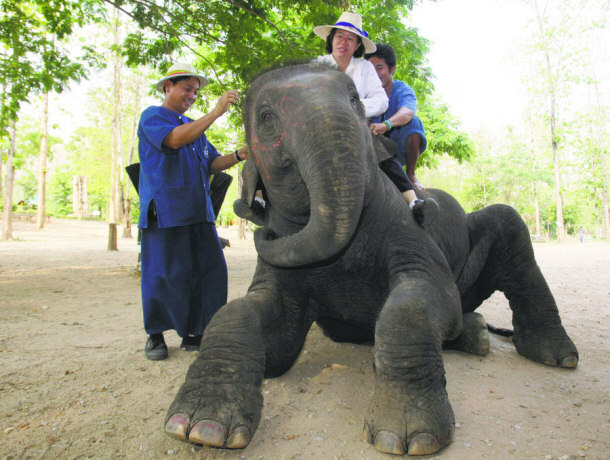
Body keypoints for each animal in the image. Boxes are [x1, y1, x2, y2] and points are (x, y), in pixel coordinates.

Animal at [164, 63, 576, 456]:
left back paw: (555, 356)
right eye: (266, 117)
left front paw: (409, 437)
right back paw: (475, 334)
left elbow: (424, 299)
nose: (256, 219)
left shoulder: (403, 227)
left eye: (356, 102)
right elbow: (259, 325)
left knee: (507, 227)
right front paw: (200, 428)